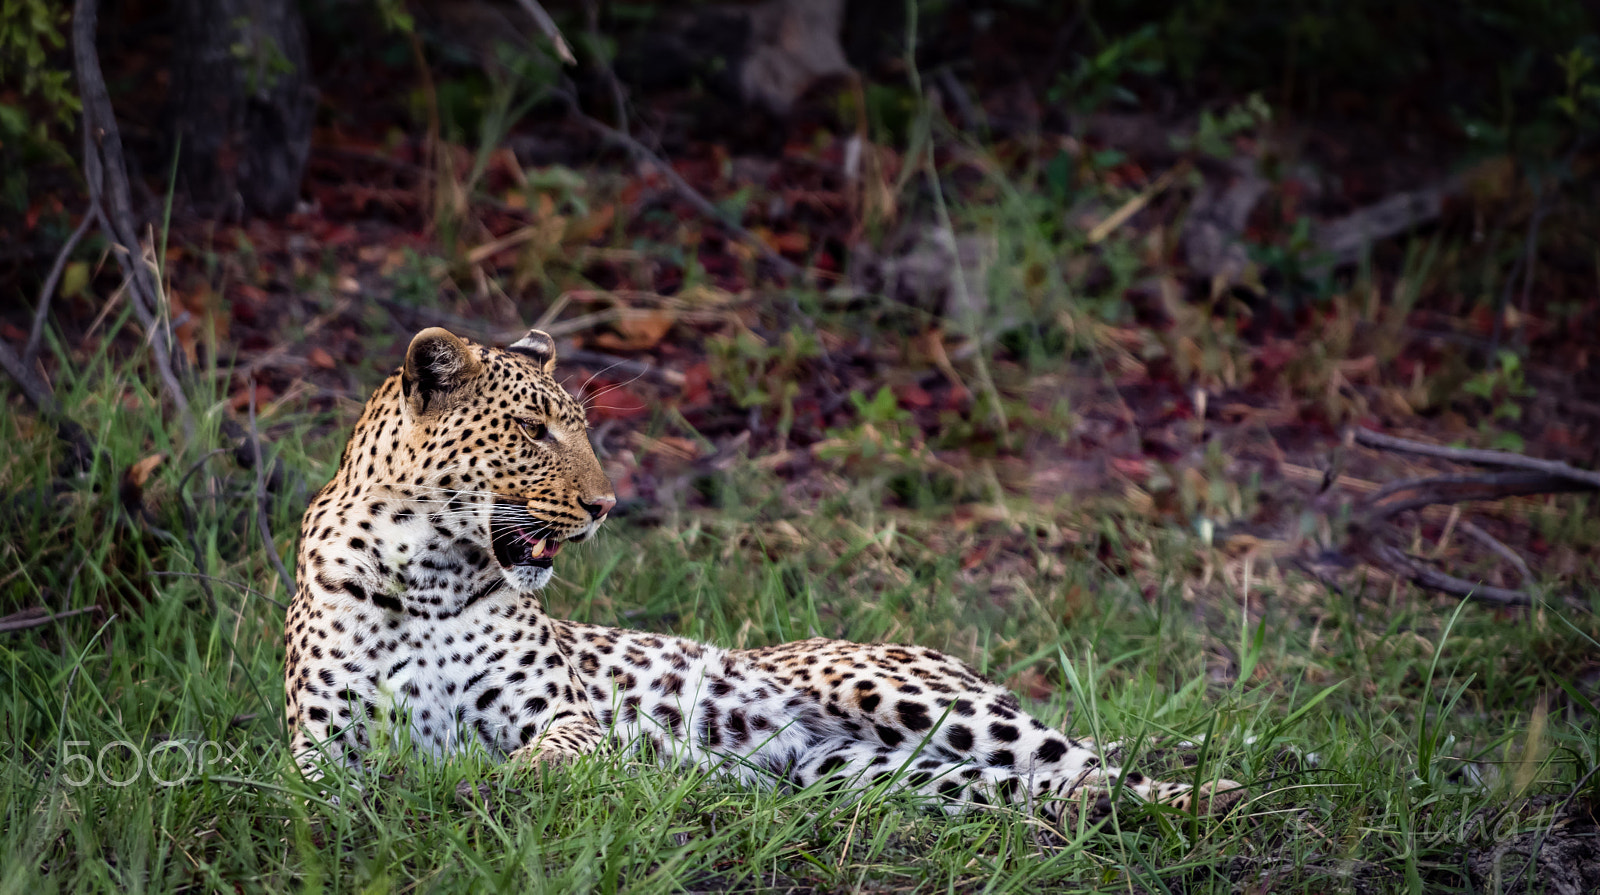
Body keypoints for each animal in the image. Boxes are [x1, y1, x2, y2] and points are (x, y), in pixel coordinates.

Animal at [281, 328, 1241, 826]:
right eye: (531, 430)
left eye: (581, 427)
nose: (607, 503)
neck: (428, 576)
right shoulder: (323, 745)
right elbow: (327, 794)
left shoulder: (561, 715)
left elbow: (549, 752)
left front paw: (498, 783)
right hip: (880, 773)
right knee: (1032, 785)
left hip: (915, 697)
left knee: (1084, 758)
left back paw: (1206, 798)